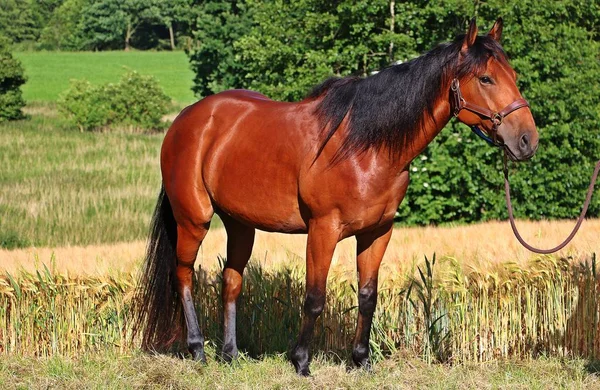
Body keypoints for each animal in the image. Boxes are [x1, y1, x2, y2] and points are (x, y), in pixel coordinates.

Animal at [132, 18, 540, 374]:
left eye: (514, 77)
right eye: (485, 78)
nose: (527, 141)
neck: (366, 146)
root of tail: (187, 119)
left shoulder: (377, 233)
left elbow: (368, 296)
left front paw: (361, 360)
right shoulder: (322, 230)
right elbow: (314, 298)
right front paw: (301, 362)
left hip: (240, 224)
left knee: (231, 281)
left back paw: (229, 355)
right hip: (193, 219)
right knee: (183, 276)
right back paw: (198, 349)